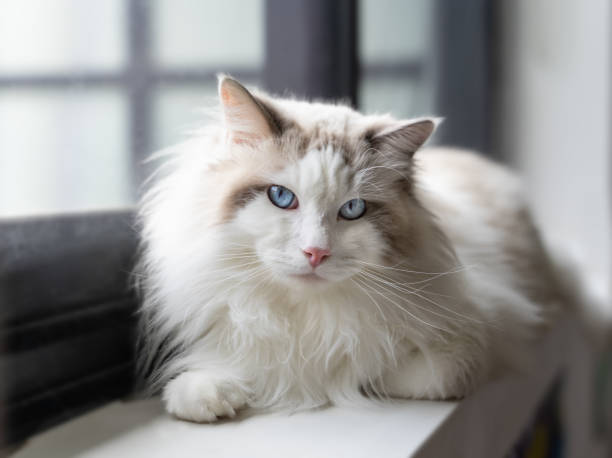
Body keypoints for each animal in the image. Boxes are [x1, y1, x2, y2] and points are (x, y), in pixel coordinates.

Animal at [135, 75, 568, 422]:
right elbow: (216, 374)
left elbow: (379, 371)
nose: (316, 253)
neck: (309, 316)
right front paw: (213, 395)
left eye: (353, 209)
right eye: (281, 197)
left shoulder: (474, 344)